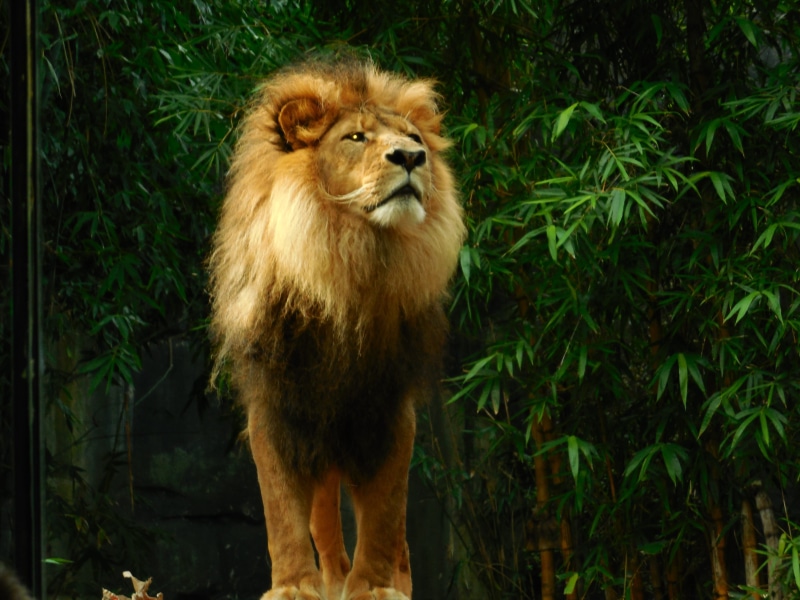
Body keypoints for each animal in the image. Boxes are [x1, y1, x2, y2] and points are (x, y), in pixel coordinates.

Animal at [208, 58, 464, 600]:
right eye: (355, 137)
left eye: (415, 138)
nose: (411, 157)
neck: (351, 268)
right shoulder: (277, 408)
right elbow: (282, 512)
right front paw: (294, 586)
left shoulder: (389, 410)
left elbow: (385, 514)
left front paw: (373, 587)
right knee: (324, 526)